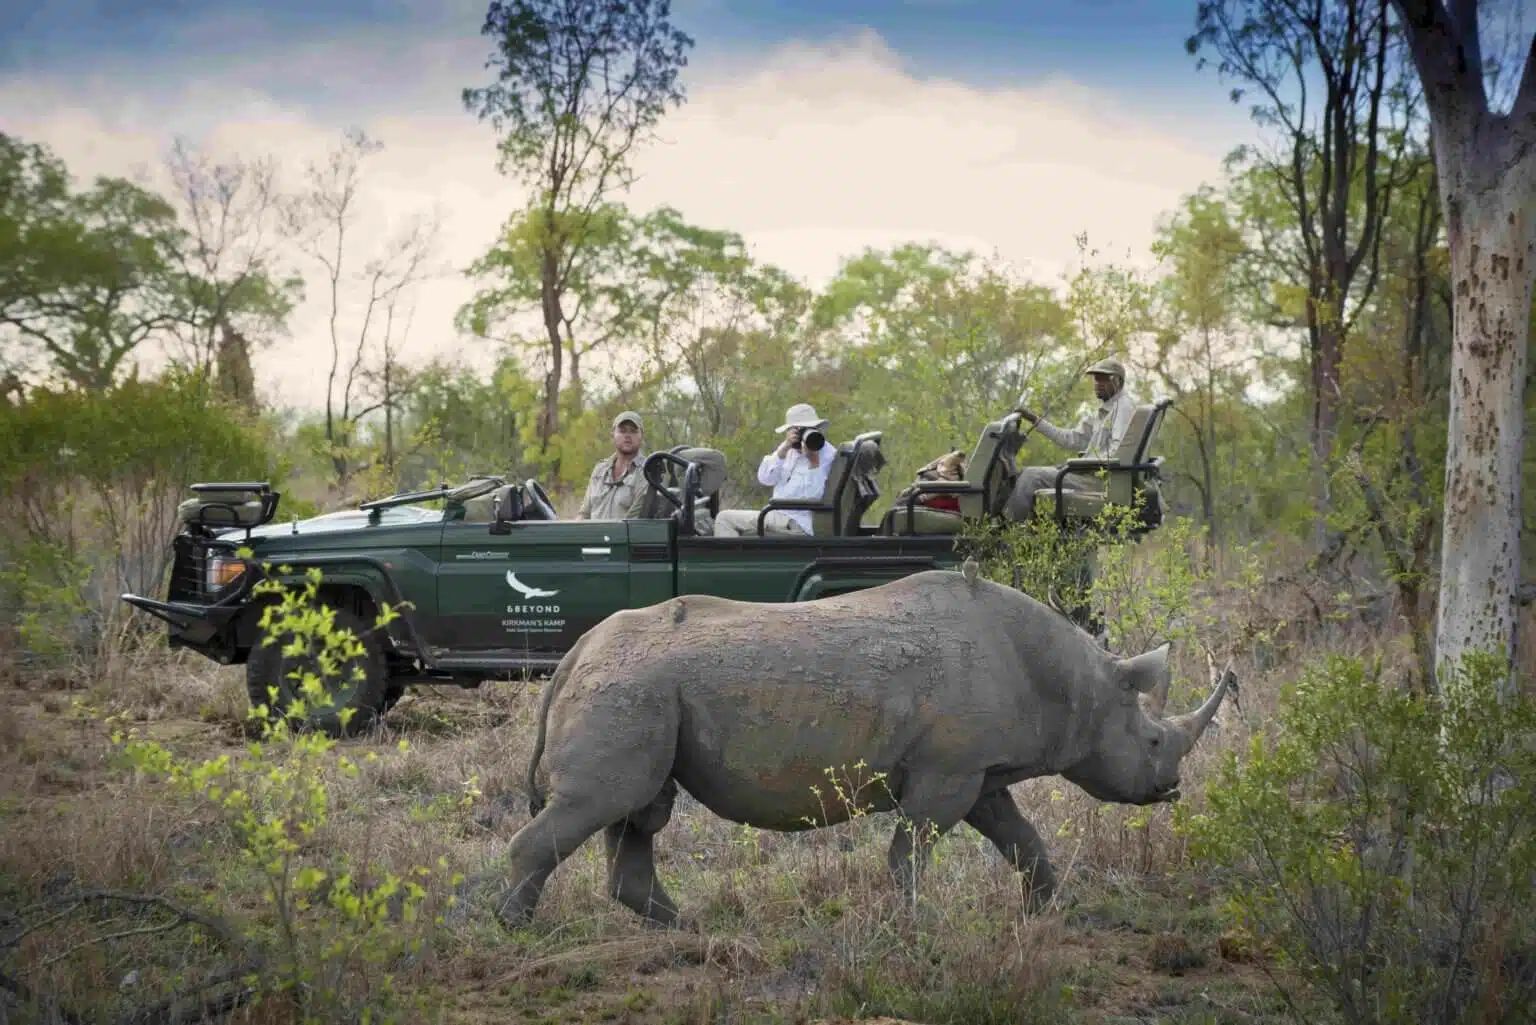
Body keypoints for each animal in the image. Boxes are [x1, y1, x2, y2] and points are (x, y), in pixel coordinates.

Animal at [483, 569, 1231, 926]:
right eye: (1154, 739)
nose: (1169, 788)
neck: (1075, 681)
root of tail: (574, 655)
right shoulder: (947, 772)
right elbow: (912, 851)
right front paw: (914, 925)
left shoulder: (978, 770)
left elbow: (1022, 839)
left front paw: (1051, 910)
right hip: (629, 687)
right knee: (602, 804)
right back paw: (515, 929)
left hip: (640, 689)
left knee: (636, 810)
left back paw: (691, 931)